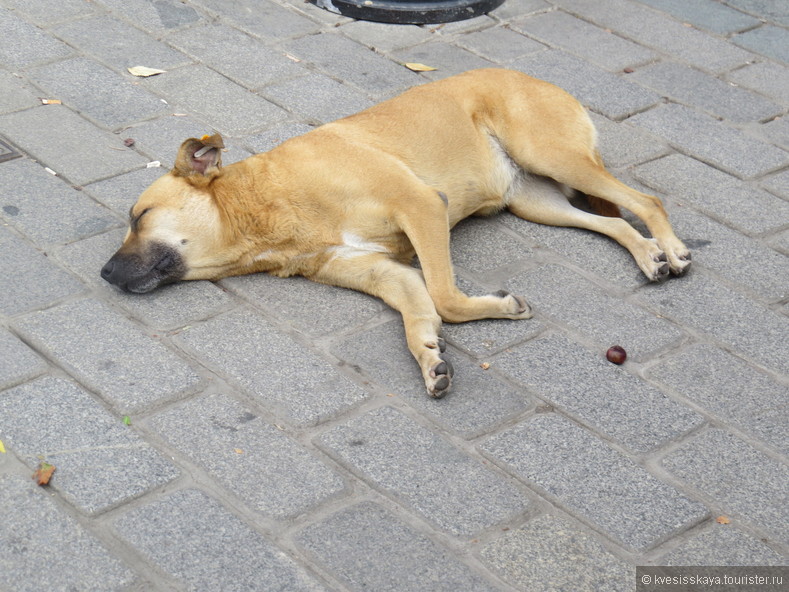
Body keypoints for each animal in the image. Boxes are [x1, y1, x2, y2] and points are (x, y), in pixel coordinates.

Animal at [101, 68, 688, 398]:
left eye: (140, 216)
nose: (104, 273)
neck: (267, 205)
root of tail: (532, 77)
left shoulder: (423, 207)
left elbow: (446, 297)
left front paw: (493, 309)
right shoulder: (385, 273)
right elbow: (419, 313)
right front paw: (429, 356)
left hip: (552, 155)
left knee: (646, 201)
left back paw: (673, 249)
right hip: (536, 200)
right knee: (614, 220)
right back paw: (648, 255)